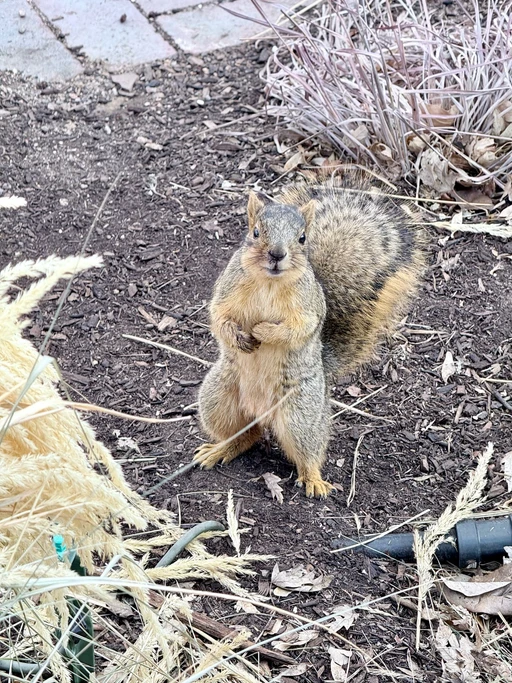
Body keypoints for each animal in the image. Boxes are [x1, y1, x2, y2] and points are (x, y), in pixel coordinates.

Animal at [194, 178, 425, 498]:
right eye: (255, 232)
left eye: (302, 238)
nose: (277, 254)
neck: (269, 282)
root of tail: (261, 412)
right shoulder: (227, 290)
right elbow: (219, 317)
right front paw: (238, 337)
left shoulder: (308, 308)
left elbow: (299, 328)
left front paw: (264, 331)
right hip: (218, 399)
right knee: (247, 434)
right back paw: (220, 449)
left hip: (300, 415)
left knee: (306, 452)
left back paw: (313, 479)